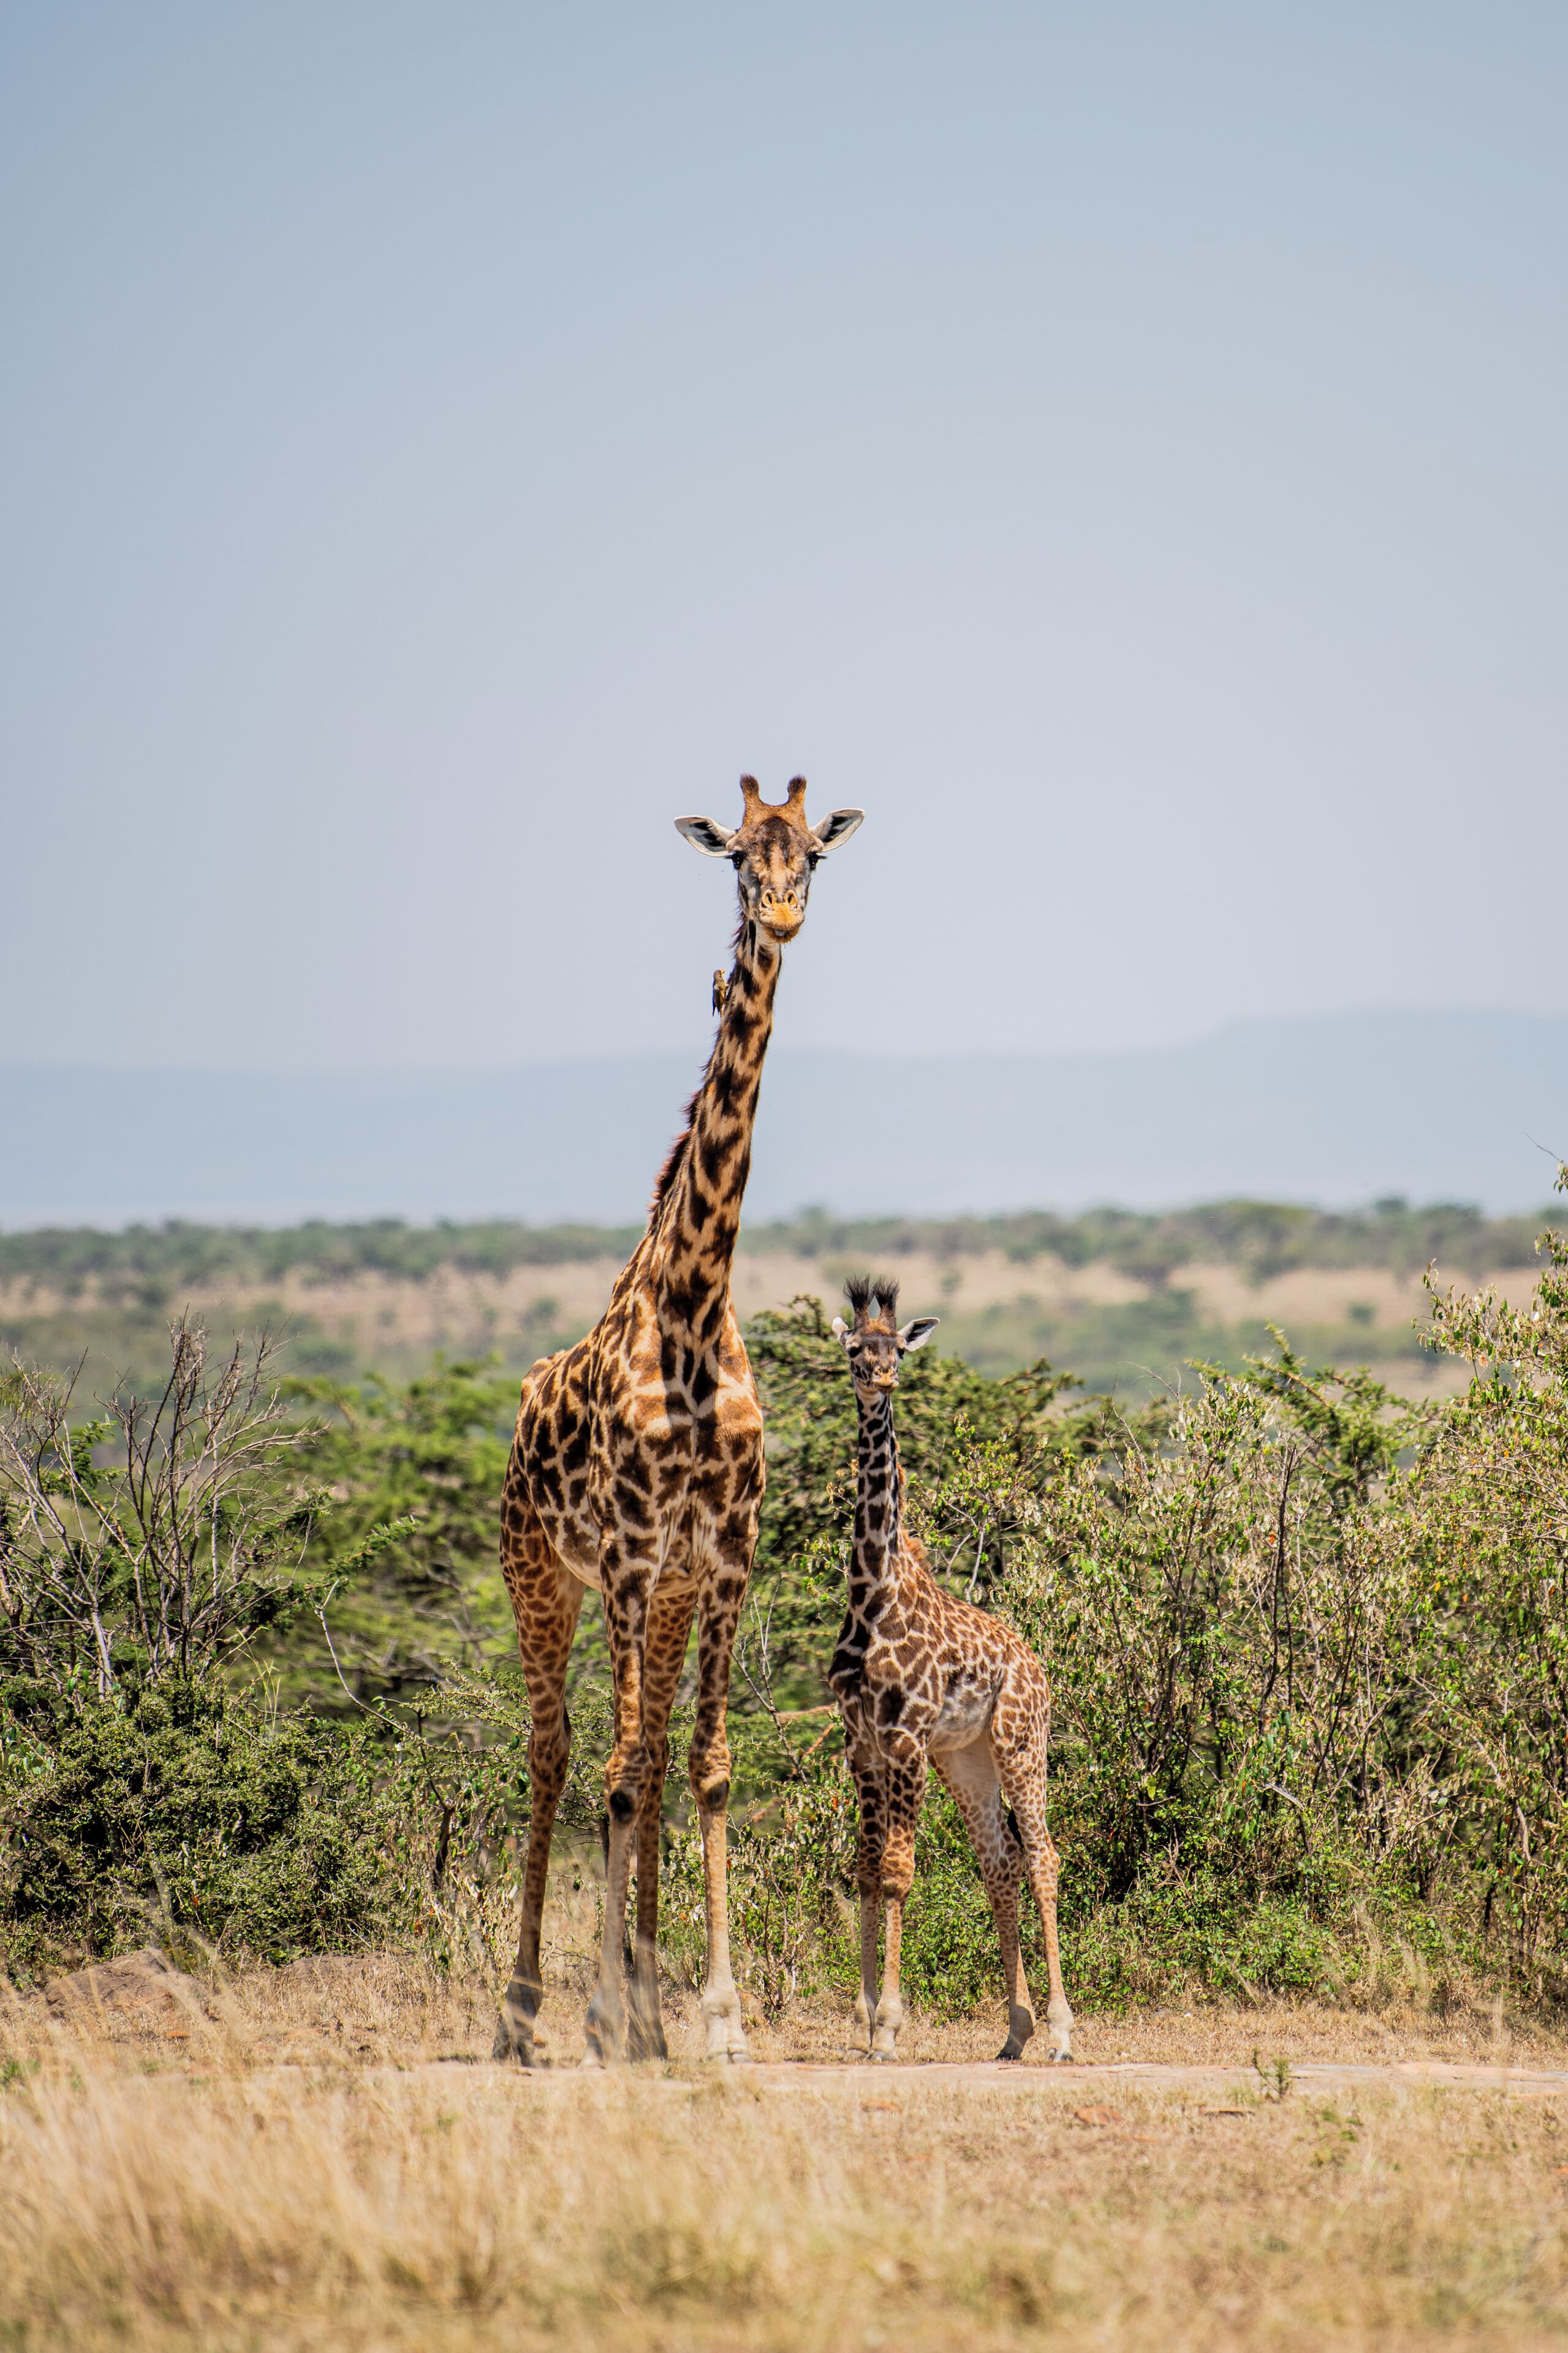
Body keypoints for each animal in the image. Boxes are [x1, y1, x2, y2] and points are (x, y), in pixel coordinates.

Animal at [492, 777, 865, 2067]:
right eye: (737, 858)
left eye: (811, 854)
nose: (785, 913)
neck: (698, 1302)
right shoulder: (626, 1552)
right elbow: (610, 1771)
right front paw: (612, 2011)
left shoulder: (725, 1554)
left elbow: (699, 1767)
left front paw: (713, 2017)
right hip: (539, 1573)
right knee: (559, 1753)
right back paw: (526, 2012)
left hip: (661, 1598)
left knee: (645, 1758)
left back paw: (643, 2014)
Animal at [828, 1277, 1075, 2065]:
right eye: (855, 1348)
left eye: (899, 1348)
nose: (882, 1379)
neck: (872, 1592)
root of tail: (1036, 1663)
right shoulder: (862, 1742)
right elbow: (866, 1868)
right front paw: (863, 2016)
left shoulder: (905, 1738)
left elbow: (900, 1873)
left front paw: (888, 2026)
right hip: (967, 1758)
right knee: (1000, 1863)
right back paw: (1014, 2032)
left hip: (1021, 1743)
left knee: (1043, 1857)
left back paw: (1061, 2031)